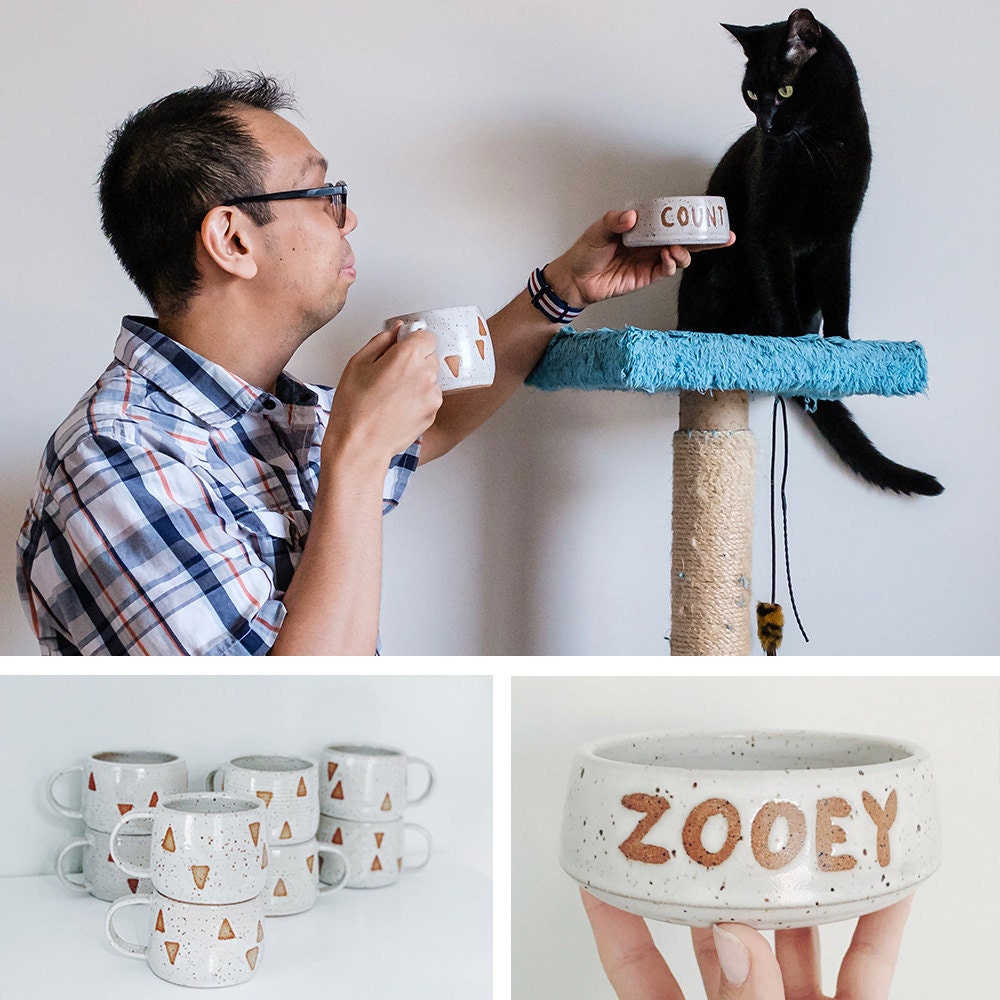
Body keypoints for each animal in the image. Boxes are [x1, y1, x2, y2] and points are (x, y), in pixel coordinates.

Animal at [676, 7, 940, 492]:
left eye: (784, 91)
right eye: (750, 94)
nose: (764, 126)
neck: (824, 145)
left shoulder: (839, 237)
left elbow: (840, 293)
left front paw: (840, 349)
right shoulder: (768, 229)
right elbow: (779, 291)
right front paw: (796, 349)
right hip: (719, 276)